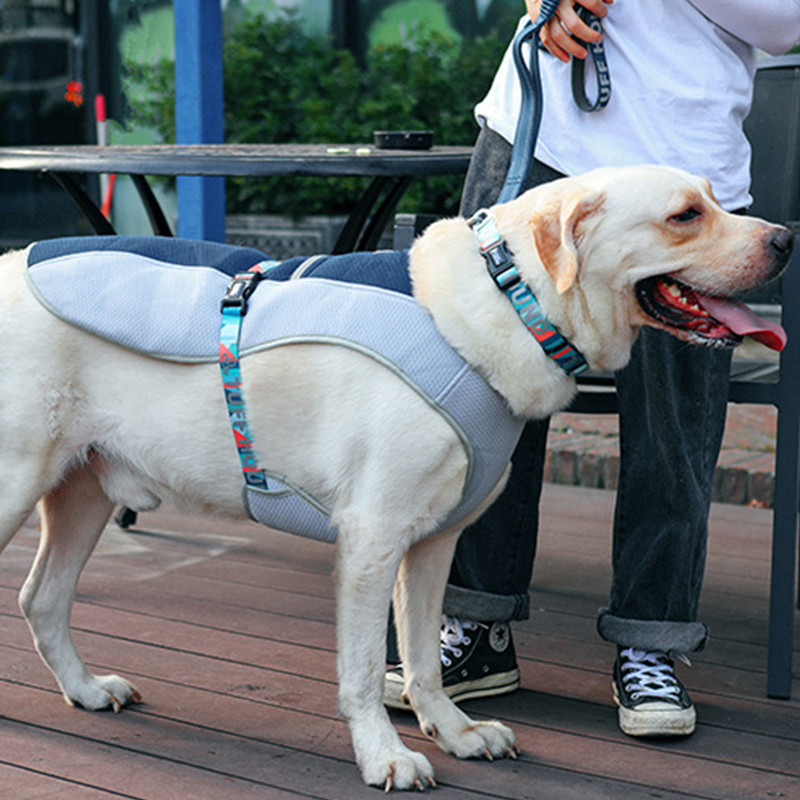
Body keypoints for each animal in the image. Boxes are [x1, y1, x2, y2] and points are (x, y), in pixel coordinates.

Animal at [0, 162, 792, 788]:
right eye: (685, 215)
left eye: (717, 200)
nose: (786, 240)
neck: (512, 298)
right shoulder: (371, 540)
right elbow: (358, 670)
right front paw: (383, 755)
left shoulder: (434, 540)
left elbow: (422, 657)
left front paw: (454, 731)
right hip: (16, 484)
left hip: (83, 491)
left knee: (42, 599)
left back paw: (86, 689)